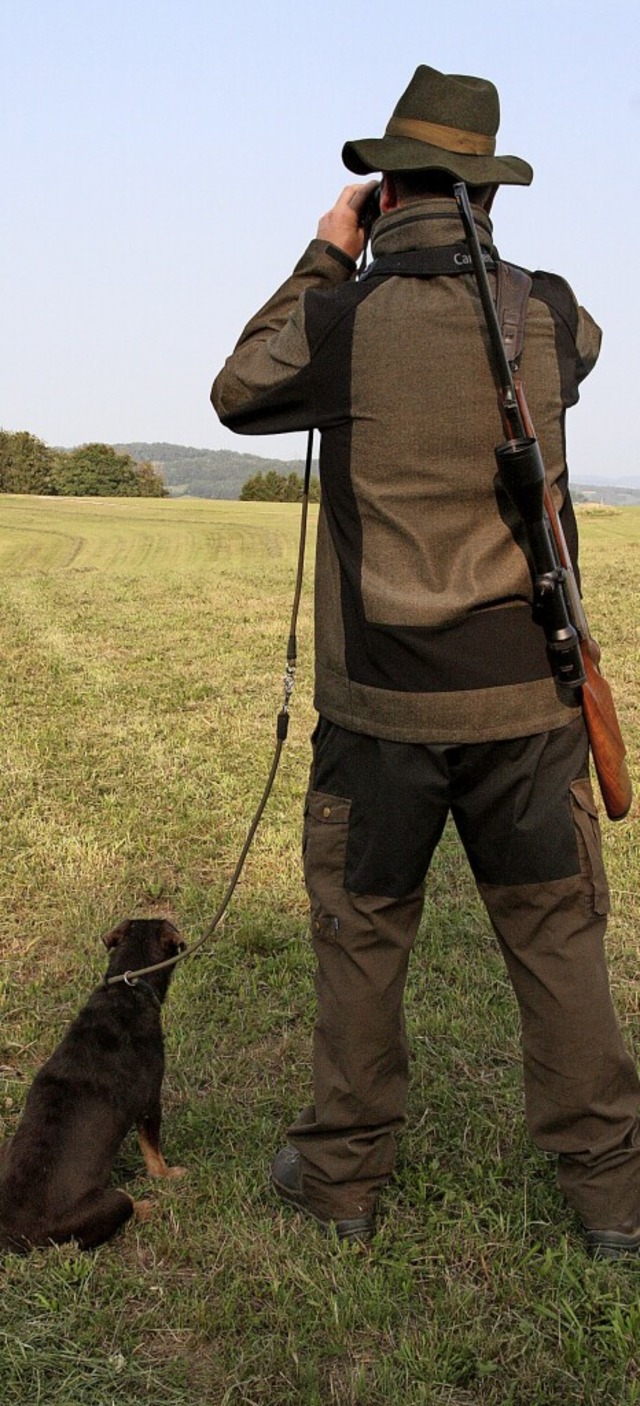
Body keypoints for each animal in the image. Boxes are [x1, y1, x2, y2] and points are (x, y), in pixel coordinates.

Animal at [0, 916, 185, 1259]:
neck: (127, 988)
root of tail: (12, 1236)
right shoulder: (150, 1103)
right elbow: (153, 1153)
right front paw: (168, 1176)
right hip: (112, 1201)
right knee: (115, 1213)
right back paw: (145, 1206)